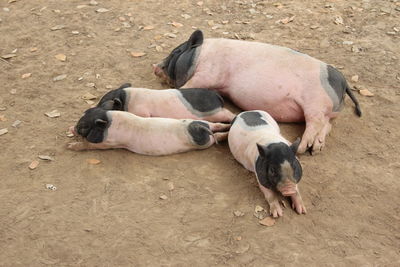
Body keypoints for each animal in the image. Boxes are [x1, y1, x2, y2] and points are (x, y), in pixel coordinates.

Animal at [67, 107, 230, 156]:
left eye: (83, 127)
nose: (72, 128)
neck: (109, 122)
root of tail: (200, 128)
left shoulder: (110, 142)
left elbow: (89, 144)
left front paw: (69, 146)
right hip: (204, 123)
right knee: (216, 126)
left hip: (205, 143)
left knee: (215, 136)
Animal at [153, 30, 362, 155]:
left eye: (176, 52)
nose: (155, 67)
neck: (200, 55)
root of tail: (342, 81)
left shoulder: (209, 74)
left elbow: (187, 86)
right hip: (325, 110)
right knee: (327, 126)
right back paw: (316, 148)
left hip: (315, 102)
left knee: (315, 123)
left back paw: (303, 148)